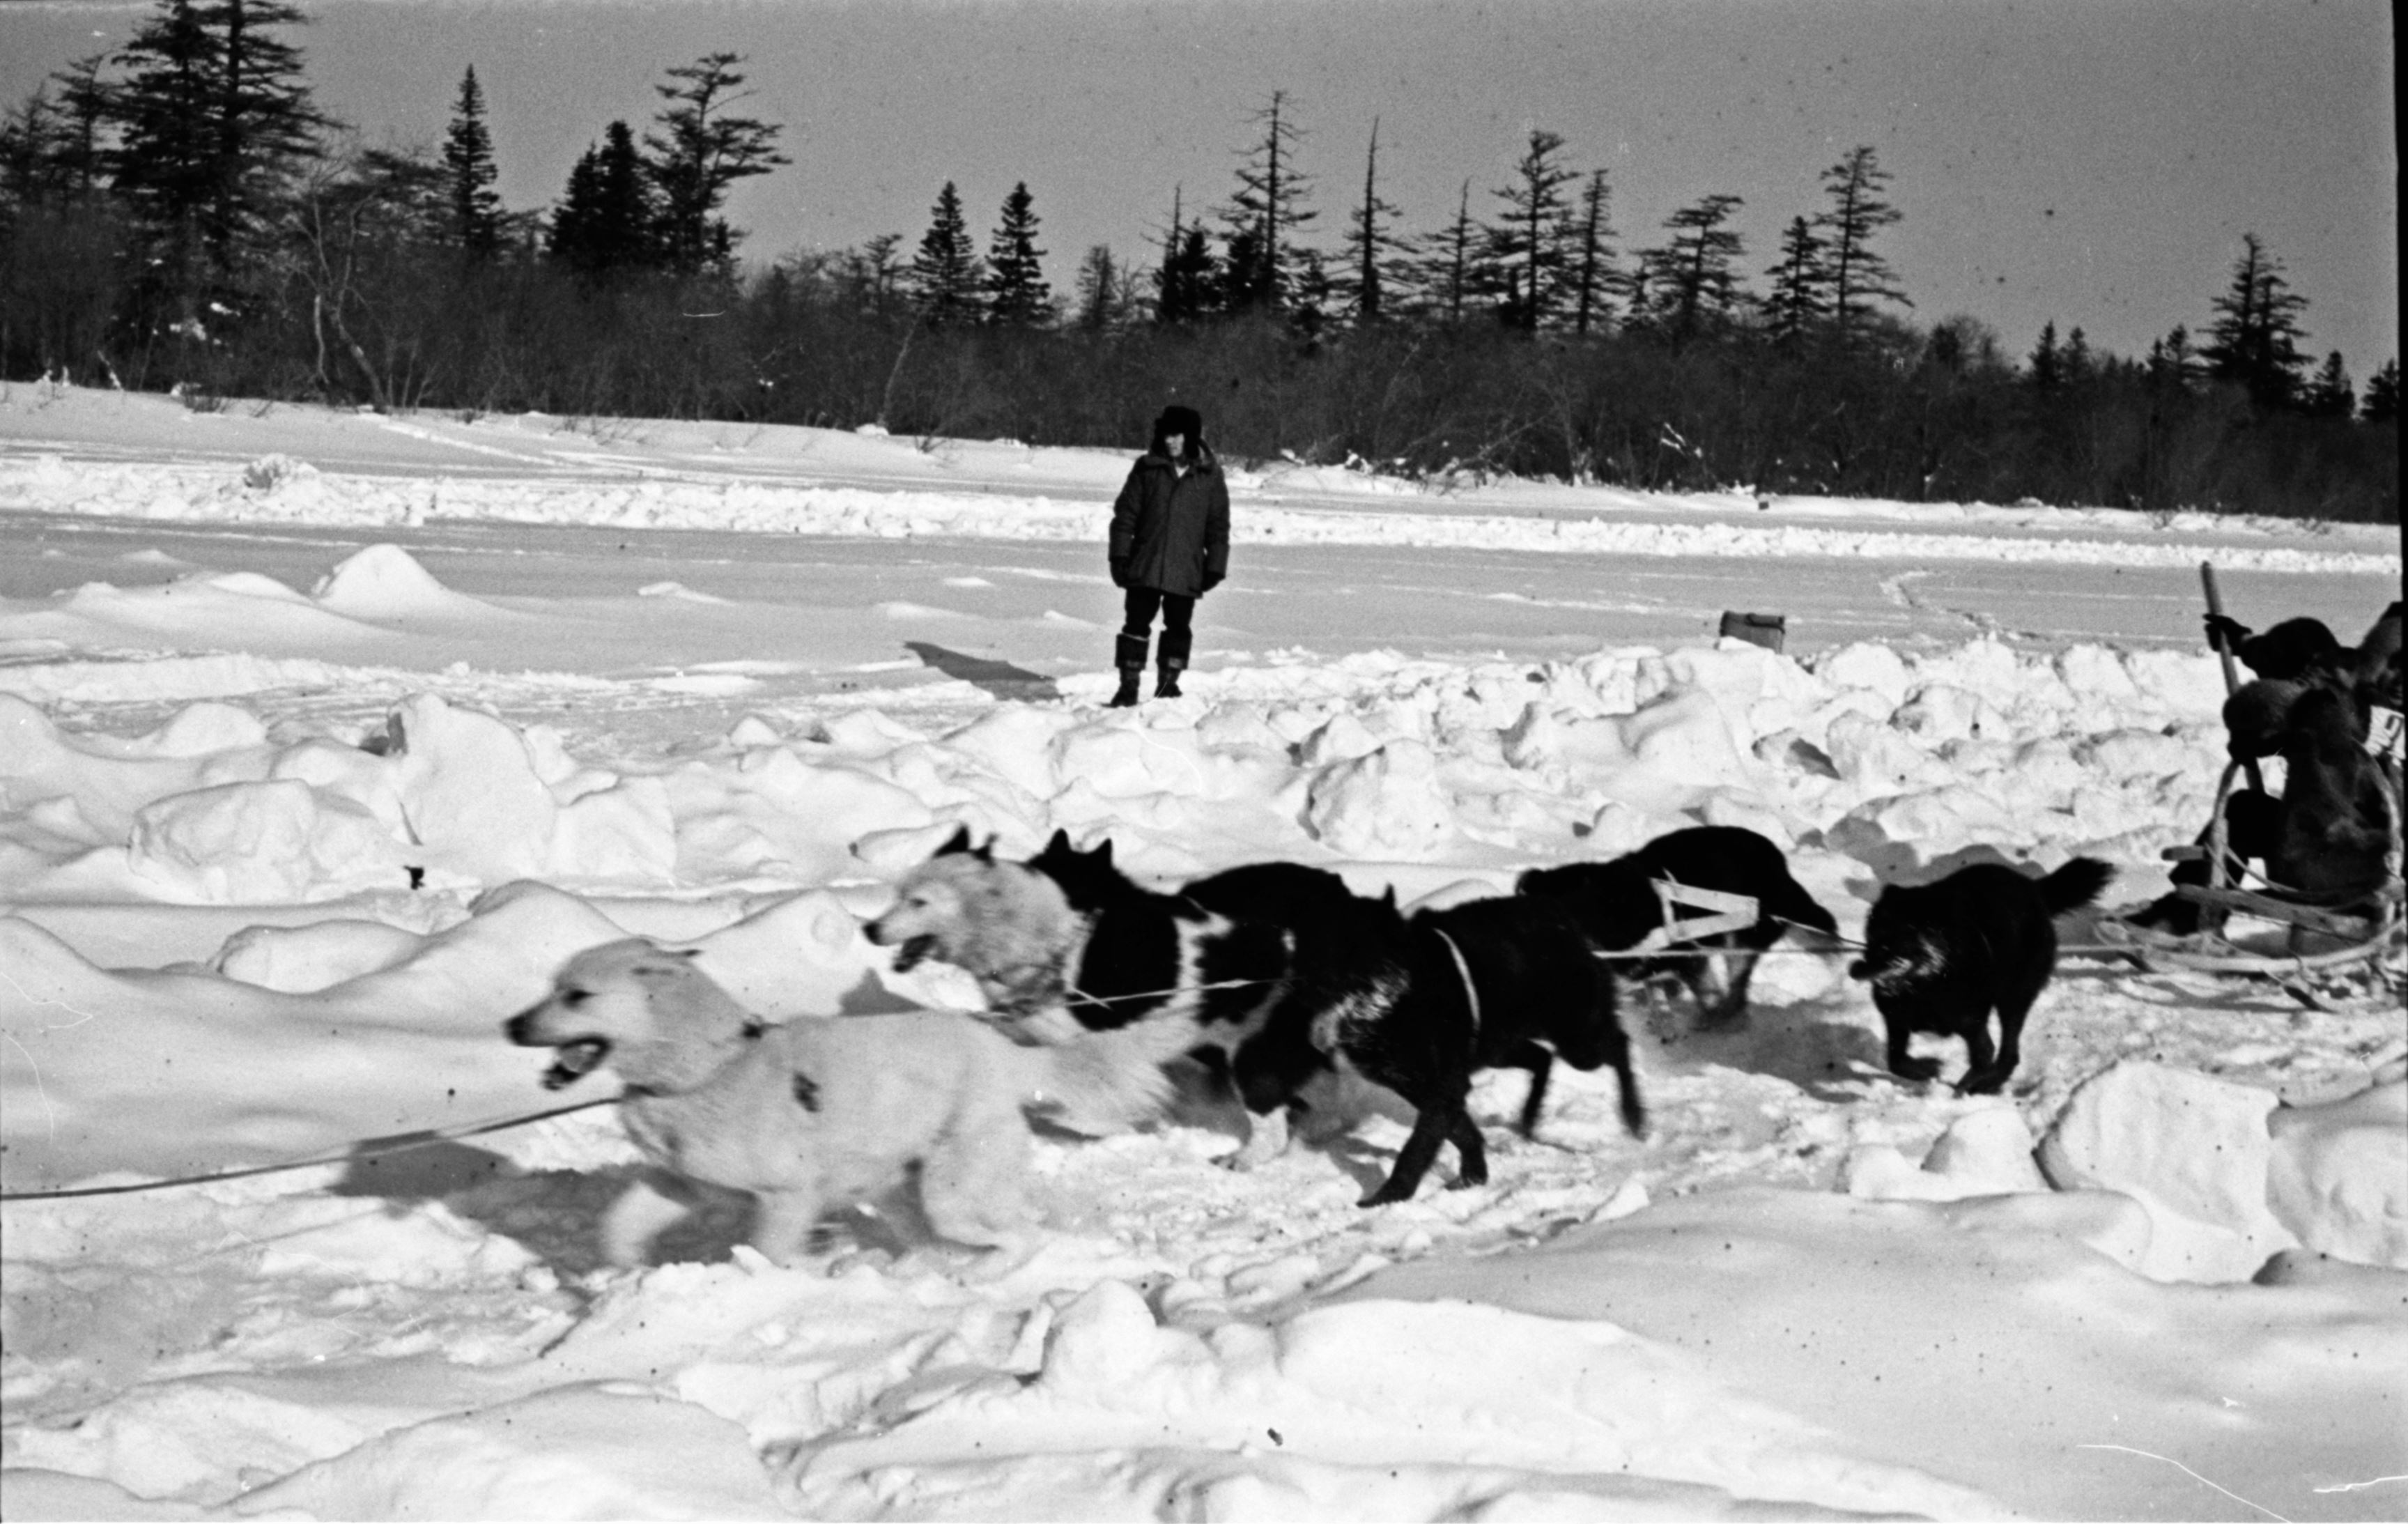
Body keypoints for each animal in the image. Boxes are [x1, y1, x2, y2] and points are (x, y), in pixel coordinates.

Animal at [500, 934, 1117, 1261]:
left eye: (578, 995)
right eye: (554, 986)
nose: (511, 1025)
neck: (709, 1068)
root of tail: (1008, 1056)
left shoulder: (786, 1197)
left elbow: (772, 1254)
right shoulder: (681, 1184)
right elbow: (619, 1225)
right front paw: (623, 1272)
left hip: (954, 1195)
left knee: (1018, 1236)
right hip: (901, 1189)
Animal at [1839, 856, 2109, 1093]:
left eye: (1906, 934)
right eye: (1874, 931)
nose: (1863, 966)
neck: (1927, 983)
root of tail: (2033, 888)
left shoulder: (1970, 1020)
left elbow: (1982, 1056)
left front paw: (1963, 1088)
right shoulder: (1896, 1018)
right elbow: (1895, 1060)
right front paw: (1927, 1068)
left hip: (2014, 995)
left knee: (2009, 1052)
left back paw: (1989, 1083)